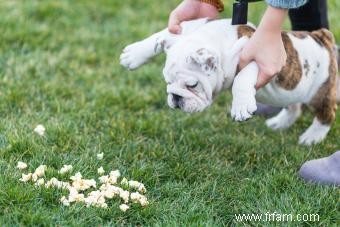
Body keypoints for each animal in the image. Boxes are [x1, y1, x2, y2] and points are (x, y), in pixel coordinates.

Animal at [119, 17, 338, 145]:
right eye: (167, 82)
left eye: (192, 85)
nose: (175, 98)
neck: (215, 39)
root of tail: (322, 38)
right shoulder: (191, 26)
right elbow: (164, 34)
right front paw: (134, 54)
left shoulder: (257, 55)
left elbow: (242, 77)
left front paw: (240, 107)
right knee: (294, 105)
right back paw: (280, 122)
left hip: (320, 92)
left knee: (326, 114)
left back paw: (312, 137)